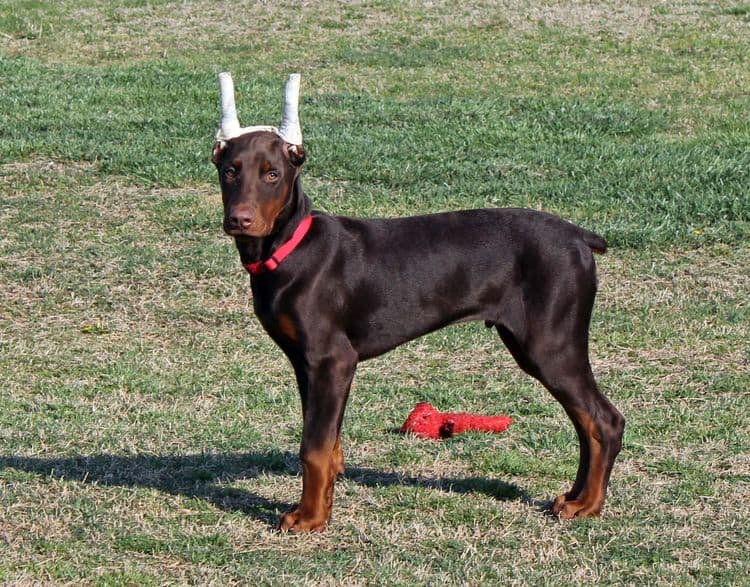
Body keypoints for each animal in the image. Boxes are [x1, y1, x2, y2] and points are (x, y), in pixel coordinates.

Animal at [213, 132, 628, 532]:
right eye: (230, 171)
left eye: (272, 174)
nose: (239, 219)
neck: (290, 247)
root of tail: (578, 236)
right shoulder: (306, 365)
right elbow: (328, 443)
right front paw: (323, 506)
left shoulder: (332, 360)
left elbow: (313, 447)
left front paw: (309, 519)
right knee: (586, 424)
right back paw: (574, 497)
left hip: (550, 347)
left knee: (605, 421)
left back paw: (588, 505)